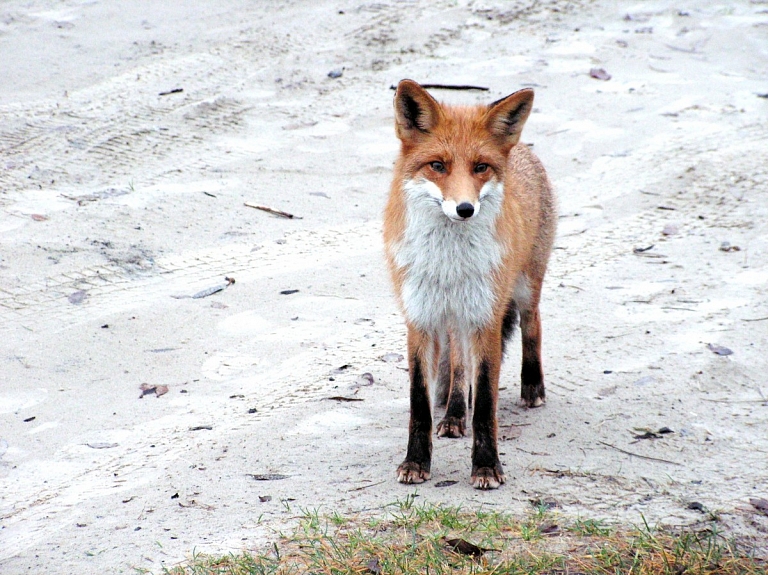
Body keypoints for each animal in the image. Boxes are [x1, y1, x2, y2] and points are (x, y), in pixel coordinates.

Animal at [384, 79, 560, 488]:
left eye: (480, 167)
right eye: (438, 166)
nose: (465, 209)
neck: (449, 265)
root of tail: (523, 150)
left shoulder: (485, 317)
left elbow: (485, 403)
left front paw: (486, 465)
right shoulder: (420, 317)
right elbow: (420, 401)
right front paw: (416, 461)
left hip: (523, 287)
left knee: (532, 324)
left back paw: (532, 386)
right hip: (454, 317)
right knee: (457, 362)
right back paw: (452, 415)